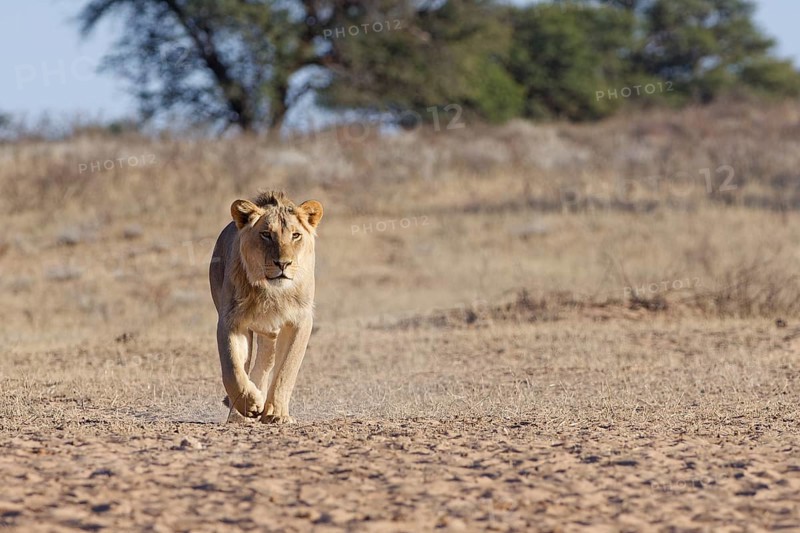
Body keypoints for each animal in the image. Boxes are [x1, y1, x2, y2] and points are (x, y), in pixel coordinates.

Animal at [209, 190, 323, 424]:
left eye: (295, 235)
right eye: (266, 235)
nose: (283, 264)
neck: (272, 292)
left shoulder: (300, 320)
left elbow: (286, 369)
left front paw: (275, 413)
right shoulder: (231, 320)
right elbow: (232, 366)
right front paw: (250, 403)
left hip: (270, 332)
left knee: (265, 362)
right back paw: (240, 413)